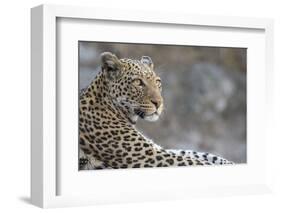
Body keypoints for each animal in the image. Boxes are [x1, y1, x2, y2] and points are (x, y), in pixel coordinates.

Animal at [79, 52, 232, 170]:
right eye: (138, 82)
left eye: (158, 82)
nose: (159, 103)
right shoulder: (150, 156)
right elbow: (195, 160)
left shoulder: (155, 148)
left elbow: (196, 154)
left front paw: (228, 162)